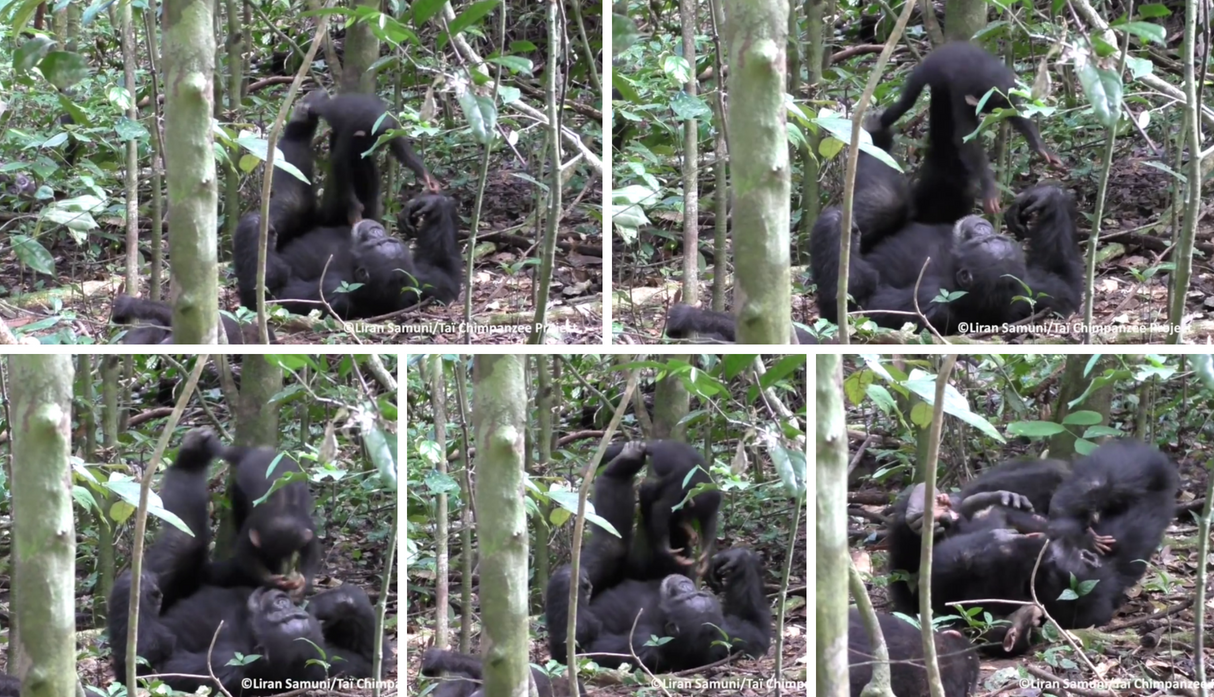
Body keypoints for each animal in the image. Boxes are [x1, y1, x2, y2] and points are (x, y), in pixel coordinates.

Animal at [208, 444, 322, 597]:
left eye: (287, 555)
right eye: (267, 556)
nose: (277, 568)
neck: (282, 512)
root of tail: (252, 452)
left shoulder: (307, 527)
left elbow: (312, 552)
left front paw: (302, 583)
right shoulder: (252, 526)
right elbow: (245, 553)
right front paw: (271, 579)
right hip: (237, 489)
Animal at [546, 439, 772, 675]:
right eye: (694, 595)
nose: (686, 585)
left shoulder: (642, 645)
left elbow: (582, 651)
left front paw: (569, 582)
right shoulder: (734, 637)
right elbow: (756, 631)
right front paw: (735, 559)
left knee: (612, 540)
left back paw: (622, 467)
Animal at [874, 40, 1063, 216]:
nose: (989, 114)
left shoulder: (1008, 90)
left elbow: (1018, 115)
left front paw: (1042, 149)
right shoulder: (962, 90)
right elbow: (966, 136)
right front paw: (989, 189)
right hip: (923, 71)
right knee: (907, 102)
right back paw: (880, 124)